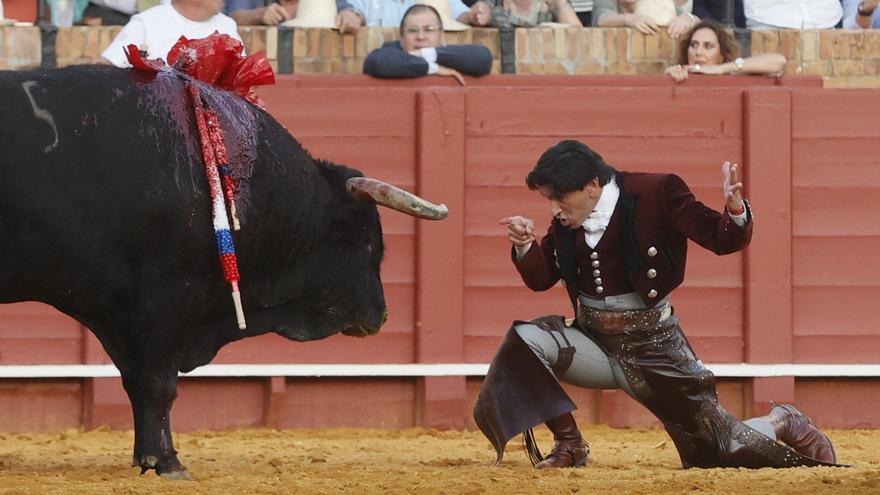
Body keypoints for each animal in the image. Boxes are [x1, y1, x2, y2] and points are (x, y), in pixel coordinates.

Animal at [0, 66, 446, 480]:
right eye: (369, 242)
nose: (381, 314)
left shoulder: (120, 314)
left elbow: (135, 379)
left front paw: (145, 458)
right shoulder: (170, 298)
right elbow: (159, 382)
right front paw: (168, 462)